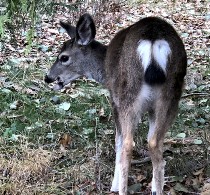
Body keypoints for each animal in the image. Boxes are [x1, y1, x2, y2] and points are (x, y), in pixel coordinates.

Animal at [44, 12, 187, 194]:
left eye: (64, 57)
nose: (48, 77)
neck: (104, 70)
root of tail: (153, 40)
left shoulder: (114, 101)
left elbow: (117, 141)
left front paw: (114, 184)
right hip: (171, 95)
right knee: (155, 143)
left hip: (127, 94)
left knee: (127, 143)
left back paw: (121, 189)